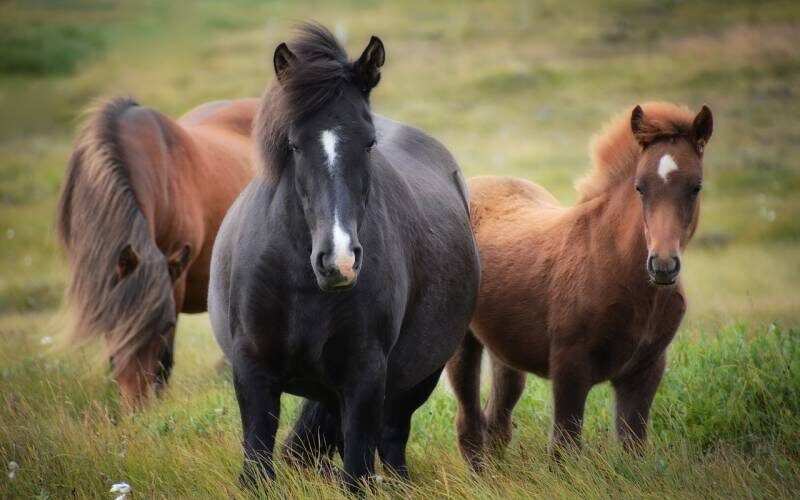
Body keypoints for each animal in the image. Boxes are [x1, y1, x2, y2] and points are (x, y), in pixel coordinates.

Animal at [208, 24, 479, 491]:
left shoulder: (365, 376)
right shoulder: (252, 370)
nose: (339, 261)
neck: (301, 283)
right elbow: (258, 463)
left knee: (392, 440)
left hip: (417, 379)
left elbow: (356, 471)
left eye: (369, 143)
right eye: (294, 145)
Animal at [447, 102, 713, 471]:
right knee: (469, 423)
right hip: (462, 343)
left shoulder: (646, 370)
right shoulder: (569, 365)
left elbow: (633, 446)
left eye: (696, 186)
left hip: (506, 350)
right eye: (640, 187)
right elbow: (564, 447)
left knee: (496, 421)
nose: (662, 265)